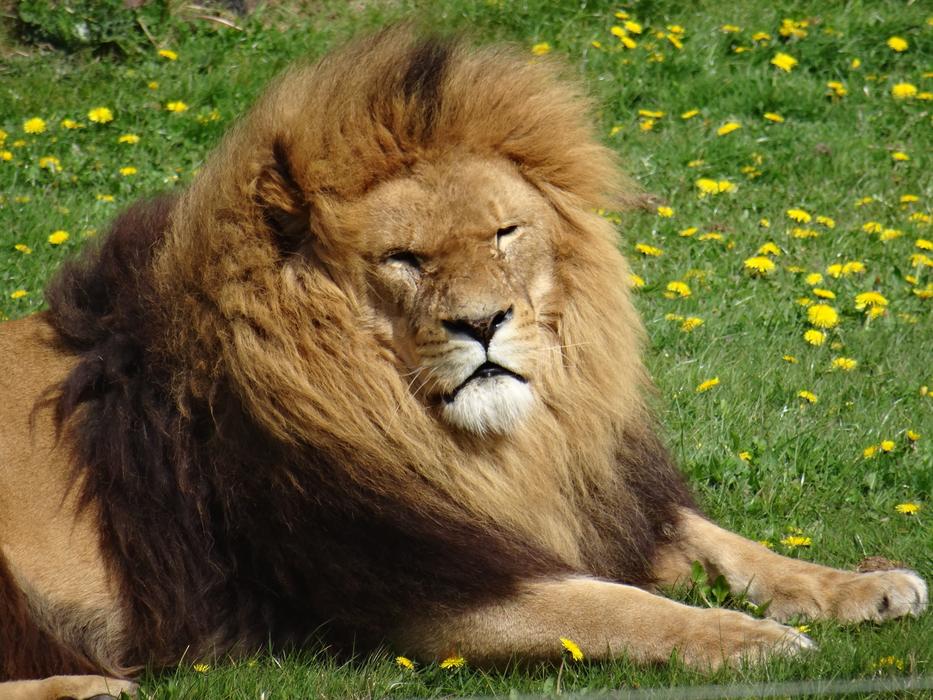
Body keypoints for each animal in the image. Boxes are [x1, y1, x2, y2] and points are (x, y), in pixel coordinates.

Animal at [0, 29, 927, 699]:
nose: (482, 323)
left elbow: (721, 541)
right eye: (403, 259)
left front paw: (861, 587)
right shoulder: (422, 589)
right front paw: (752, 639)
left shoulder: (579, 498)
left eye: (503, 233)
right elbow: (617, 606)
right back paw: (91, 686)